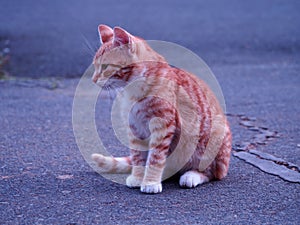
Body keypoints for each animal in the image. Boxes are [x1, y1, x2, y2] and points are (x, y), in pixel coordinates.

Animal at [91, 24, 232, 193]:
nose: (93, 80)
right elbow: (138, 156)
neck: (133, 90)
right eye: (95, 66)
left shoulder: (162, 126)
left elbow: (155, 157)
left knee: (212, 173)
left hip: (213, 140)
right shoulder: (135, 128)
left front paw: (150, 181)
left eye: (105, 66)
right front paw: (139, 177)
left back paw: (191, 175)